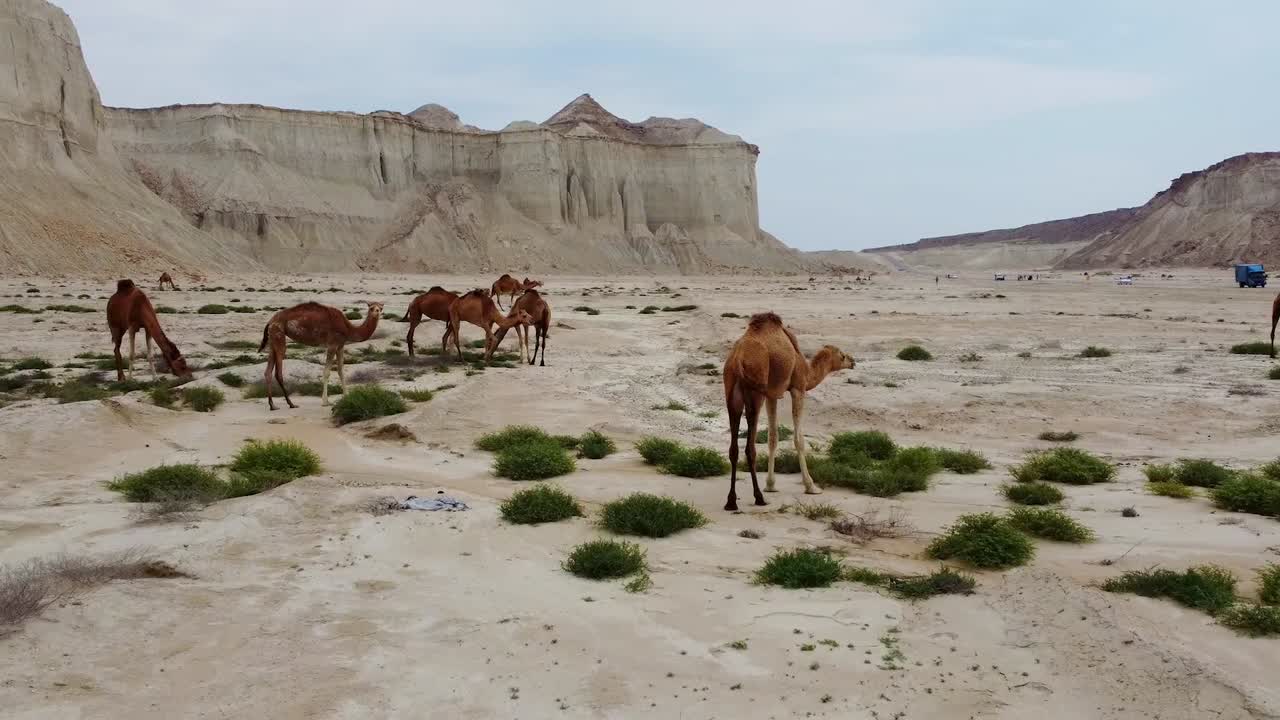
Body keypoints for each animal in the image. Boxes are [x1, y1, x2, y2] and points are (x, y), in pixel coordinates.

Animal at [721, 312, 855, 511]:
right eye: (842, 355)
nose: (854, 361)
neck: (806, 369)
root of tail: (737, 360)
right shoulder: (798, 388)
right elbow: (798, 439)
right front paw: (811, 486)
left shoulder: (772, 395)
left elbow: (773, 438)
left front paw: (771, 485)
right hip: (755, 392)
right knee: (750, 447)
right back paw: (758, 497)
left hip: (731, 392)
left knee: (734, 447)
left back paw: (731, 501)